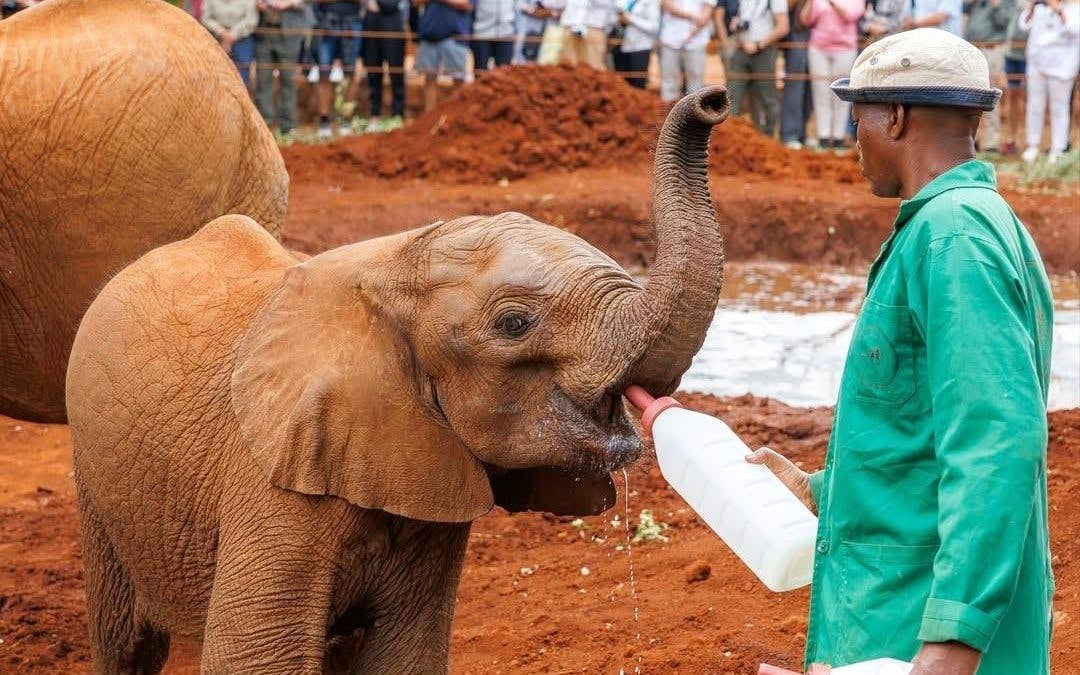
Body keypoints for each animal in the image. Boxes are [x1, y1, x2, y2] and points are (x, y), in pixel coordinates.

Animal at [65, 88, 730, 673]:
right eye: (514, 324)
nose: (714, 99)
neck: (390, 265)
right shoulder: (270, 478)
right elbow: (253, 661)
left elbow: (406, 657)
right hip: (96, 484)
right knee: (125, 646)